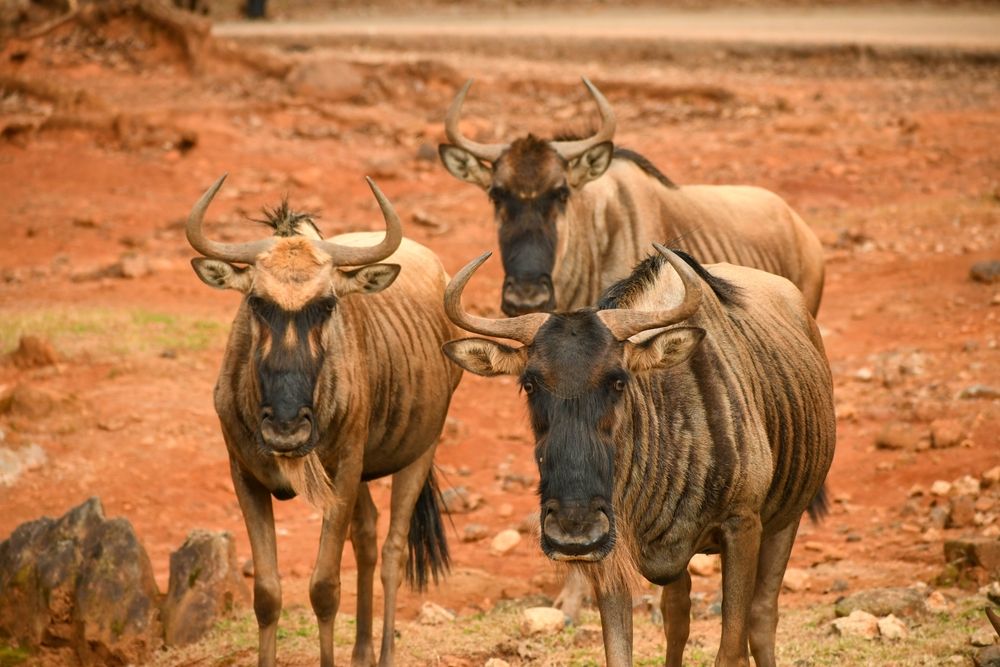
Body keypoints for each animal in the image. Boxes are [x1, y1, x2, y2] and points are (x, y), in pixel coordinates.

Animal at [187, 176, 461, 667]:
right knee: (368, 537)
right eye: (256, 301)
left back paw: (384, 654)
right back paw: (362, 651)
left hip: (419, 452)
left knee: (393, 550)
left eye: (328, 303)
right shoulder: (245, 477)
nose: (286, 429)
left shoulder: (345, 473)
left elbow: (324, 588)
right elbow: (267, 593)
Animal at [441, 245, 836, 666]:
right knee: (677, 615)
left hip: (786, 520)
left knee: (762, 616)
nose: (573, 528)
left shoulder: (742, 526)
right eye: (529, 384)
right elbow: (622, 650)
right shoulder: (610, 556)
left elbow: (732, 650)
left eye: (618, 380)